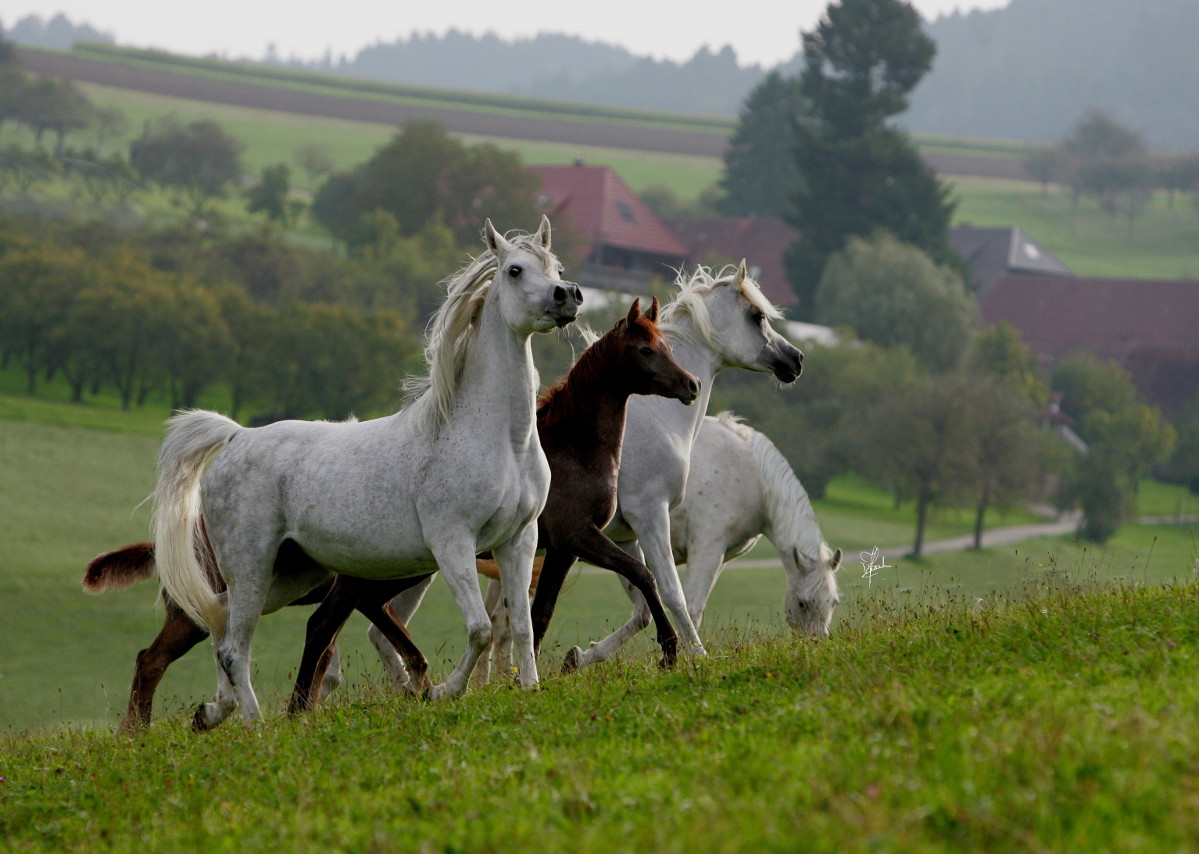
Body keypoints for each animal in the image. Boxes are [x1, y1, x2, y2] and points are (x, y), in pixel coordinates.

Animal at [152, 214, 582, 729]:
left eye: (557, 267)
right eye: (515, 270)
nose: (568, 295)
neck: (497, 438)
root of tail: (236, 436)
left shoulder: (519, 539)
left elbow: (521, 624)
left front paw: (529, 689)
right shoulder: (452, 542)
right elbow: (479, 629)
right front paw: (442, 692)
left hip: (292, 572)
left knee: (218, 621)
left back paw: (213, 712)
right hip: (251, 566)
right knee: (235, 648)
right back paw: (255, 726)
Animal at [671, 410, 839, 638]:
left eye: (833, 602)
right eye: (802, 603)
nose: (816, 641)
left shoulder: (720, 560)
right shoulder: (706, 551)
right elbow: (689, 610)